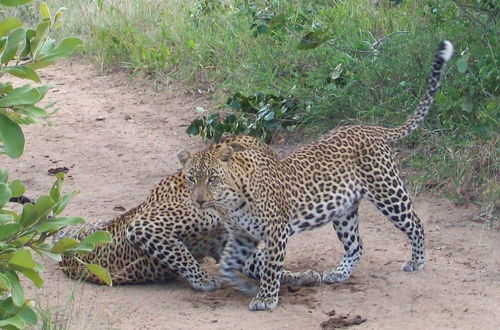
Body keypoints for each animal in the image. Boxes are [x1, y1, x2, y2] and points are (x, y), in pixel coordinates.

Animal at [58, 133, 322, 288]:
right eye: (268, 165)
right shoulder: (144, 226)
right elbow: (181, 255)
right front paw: (205, 280)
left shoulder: (224, 242)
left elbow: (264, 263)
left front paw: (302, 276)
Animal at [178, 40, 456, 310]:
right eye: (191, 179)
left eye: (212, 179)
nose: (199, 201)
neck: (230, 202)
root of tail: (370, 128)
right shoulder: (241, 235)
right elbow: (227, 265)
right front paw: (243, 286)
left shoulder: (276, 230)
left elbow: (271, 266)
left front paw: (266, 298)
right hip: (343, 210)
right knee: (356, 245)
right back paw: (339, 273)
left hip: (388, 192)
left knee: (415, 223)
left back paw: (417, 260)